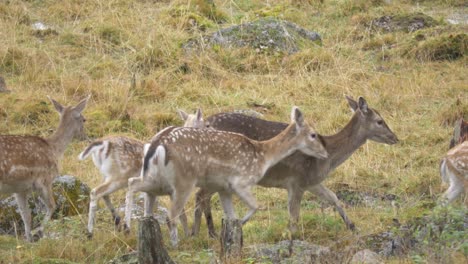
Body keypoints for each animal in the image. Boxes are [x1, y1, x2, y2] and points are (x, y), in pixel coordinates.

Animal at [0, 96, 90, 242]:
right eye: (84, 119)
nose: (87, 137)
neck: (54, 149)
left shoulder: (20, 189)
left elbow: (26, 215)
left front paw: (29, 239)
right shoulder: (44, 180)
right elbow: (51, 206)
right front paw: (39, 232)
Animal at [78, 108, 214, 236]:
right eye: (207, 124)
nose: (213, 131)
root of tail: (101, 146)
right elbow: (181, 212)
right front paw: (188, 234)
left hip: (107, 174)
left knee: (104, 194)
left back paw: (116, 221)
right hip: (120, 175)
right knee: (97, 192)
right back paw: (97, 230)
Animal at [126, 106, 328, 246]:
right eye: (313, 134)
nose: (325, 153)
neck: (263, 155)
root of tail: (155, 144)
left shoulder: (225, 189)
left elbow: (231, 215)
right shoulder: (240, 183)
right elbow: (255, 206)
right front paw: (240, 225)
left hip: (155, 181)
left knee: (136, 188)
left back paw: (133, 226)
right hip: (183, 182)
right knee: (172, 213)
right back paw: (177, 243)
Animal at [190, 95, 398, 235]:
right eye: (380, 121)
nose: (395, 138)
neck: (328, 158)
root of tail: (202, 124)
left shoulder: (310, 181)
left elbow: (333, 197)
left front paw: (353, 227)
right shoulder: (297, 181)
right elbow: (294, 216)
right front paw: (293, 239)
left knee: (202, 194)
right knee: (200, 195)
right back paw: (203, 232)